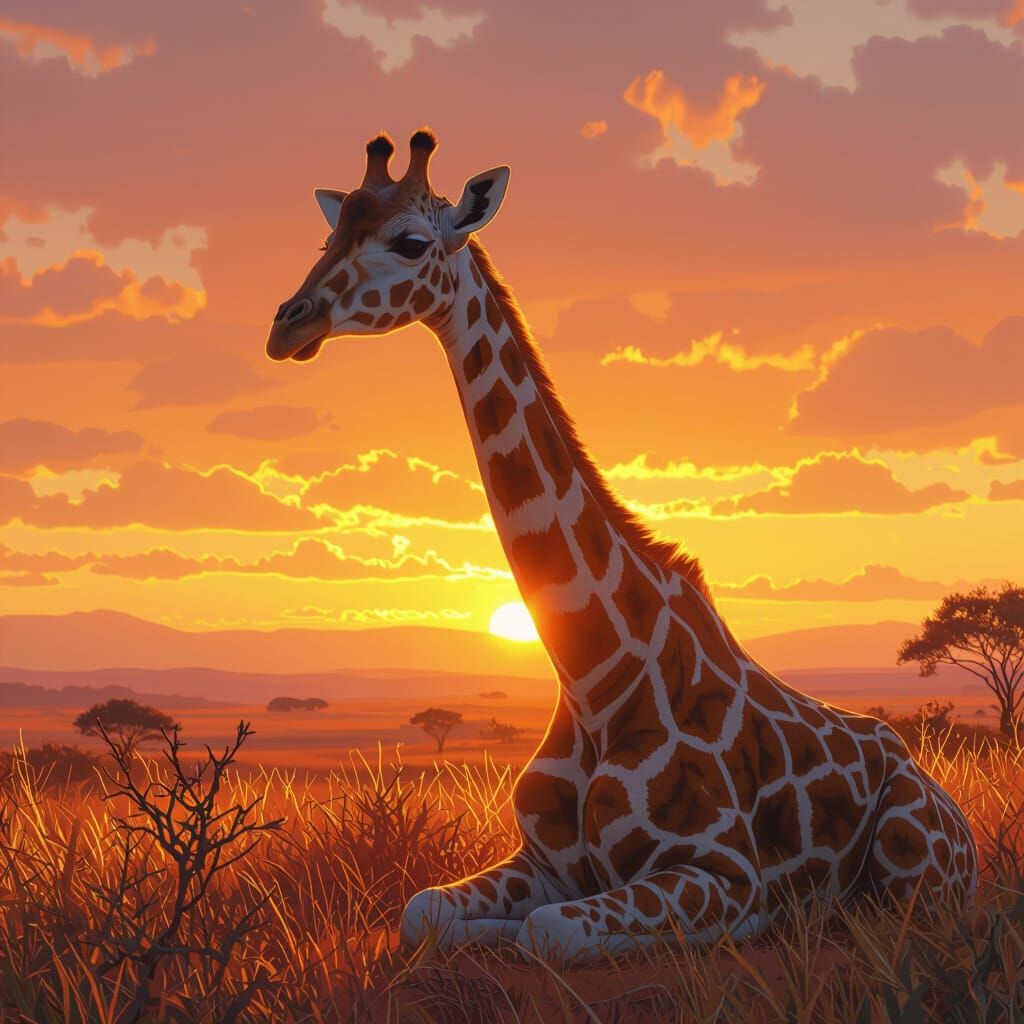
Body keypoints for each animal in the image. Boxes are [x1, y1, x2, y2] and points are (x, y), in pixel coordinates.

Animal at [265, 131, 978, 960]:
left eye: (410, 242)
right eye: (328, 238)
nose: (288, 324)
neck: (593, 678)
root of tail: (957, 816)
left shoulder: (723, 872)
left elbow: (546, 933)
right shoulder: (544, 861)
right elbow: (426, 910)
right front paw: (476, 927)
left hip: (912, 857)